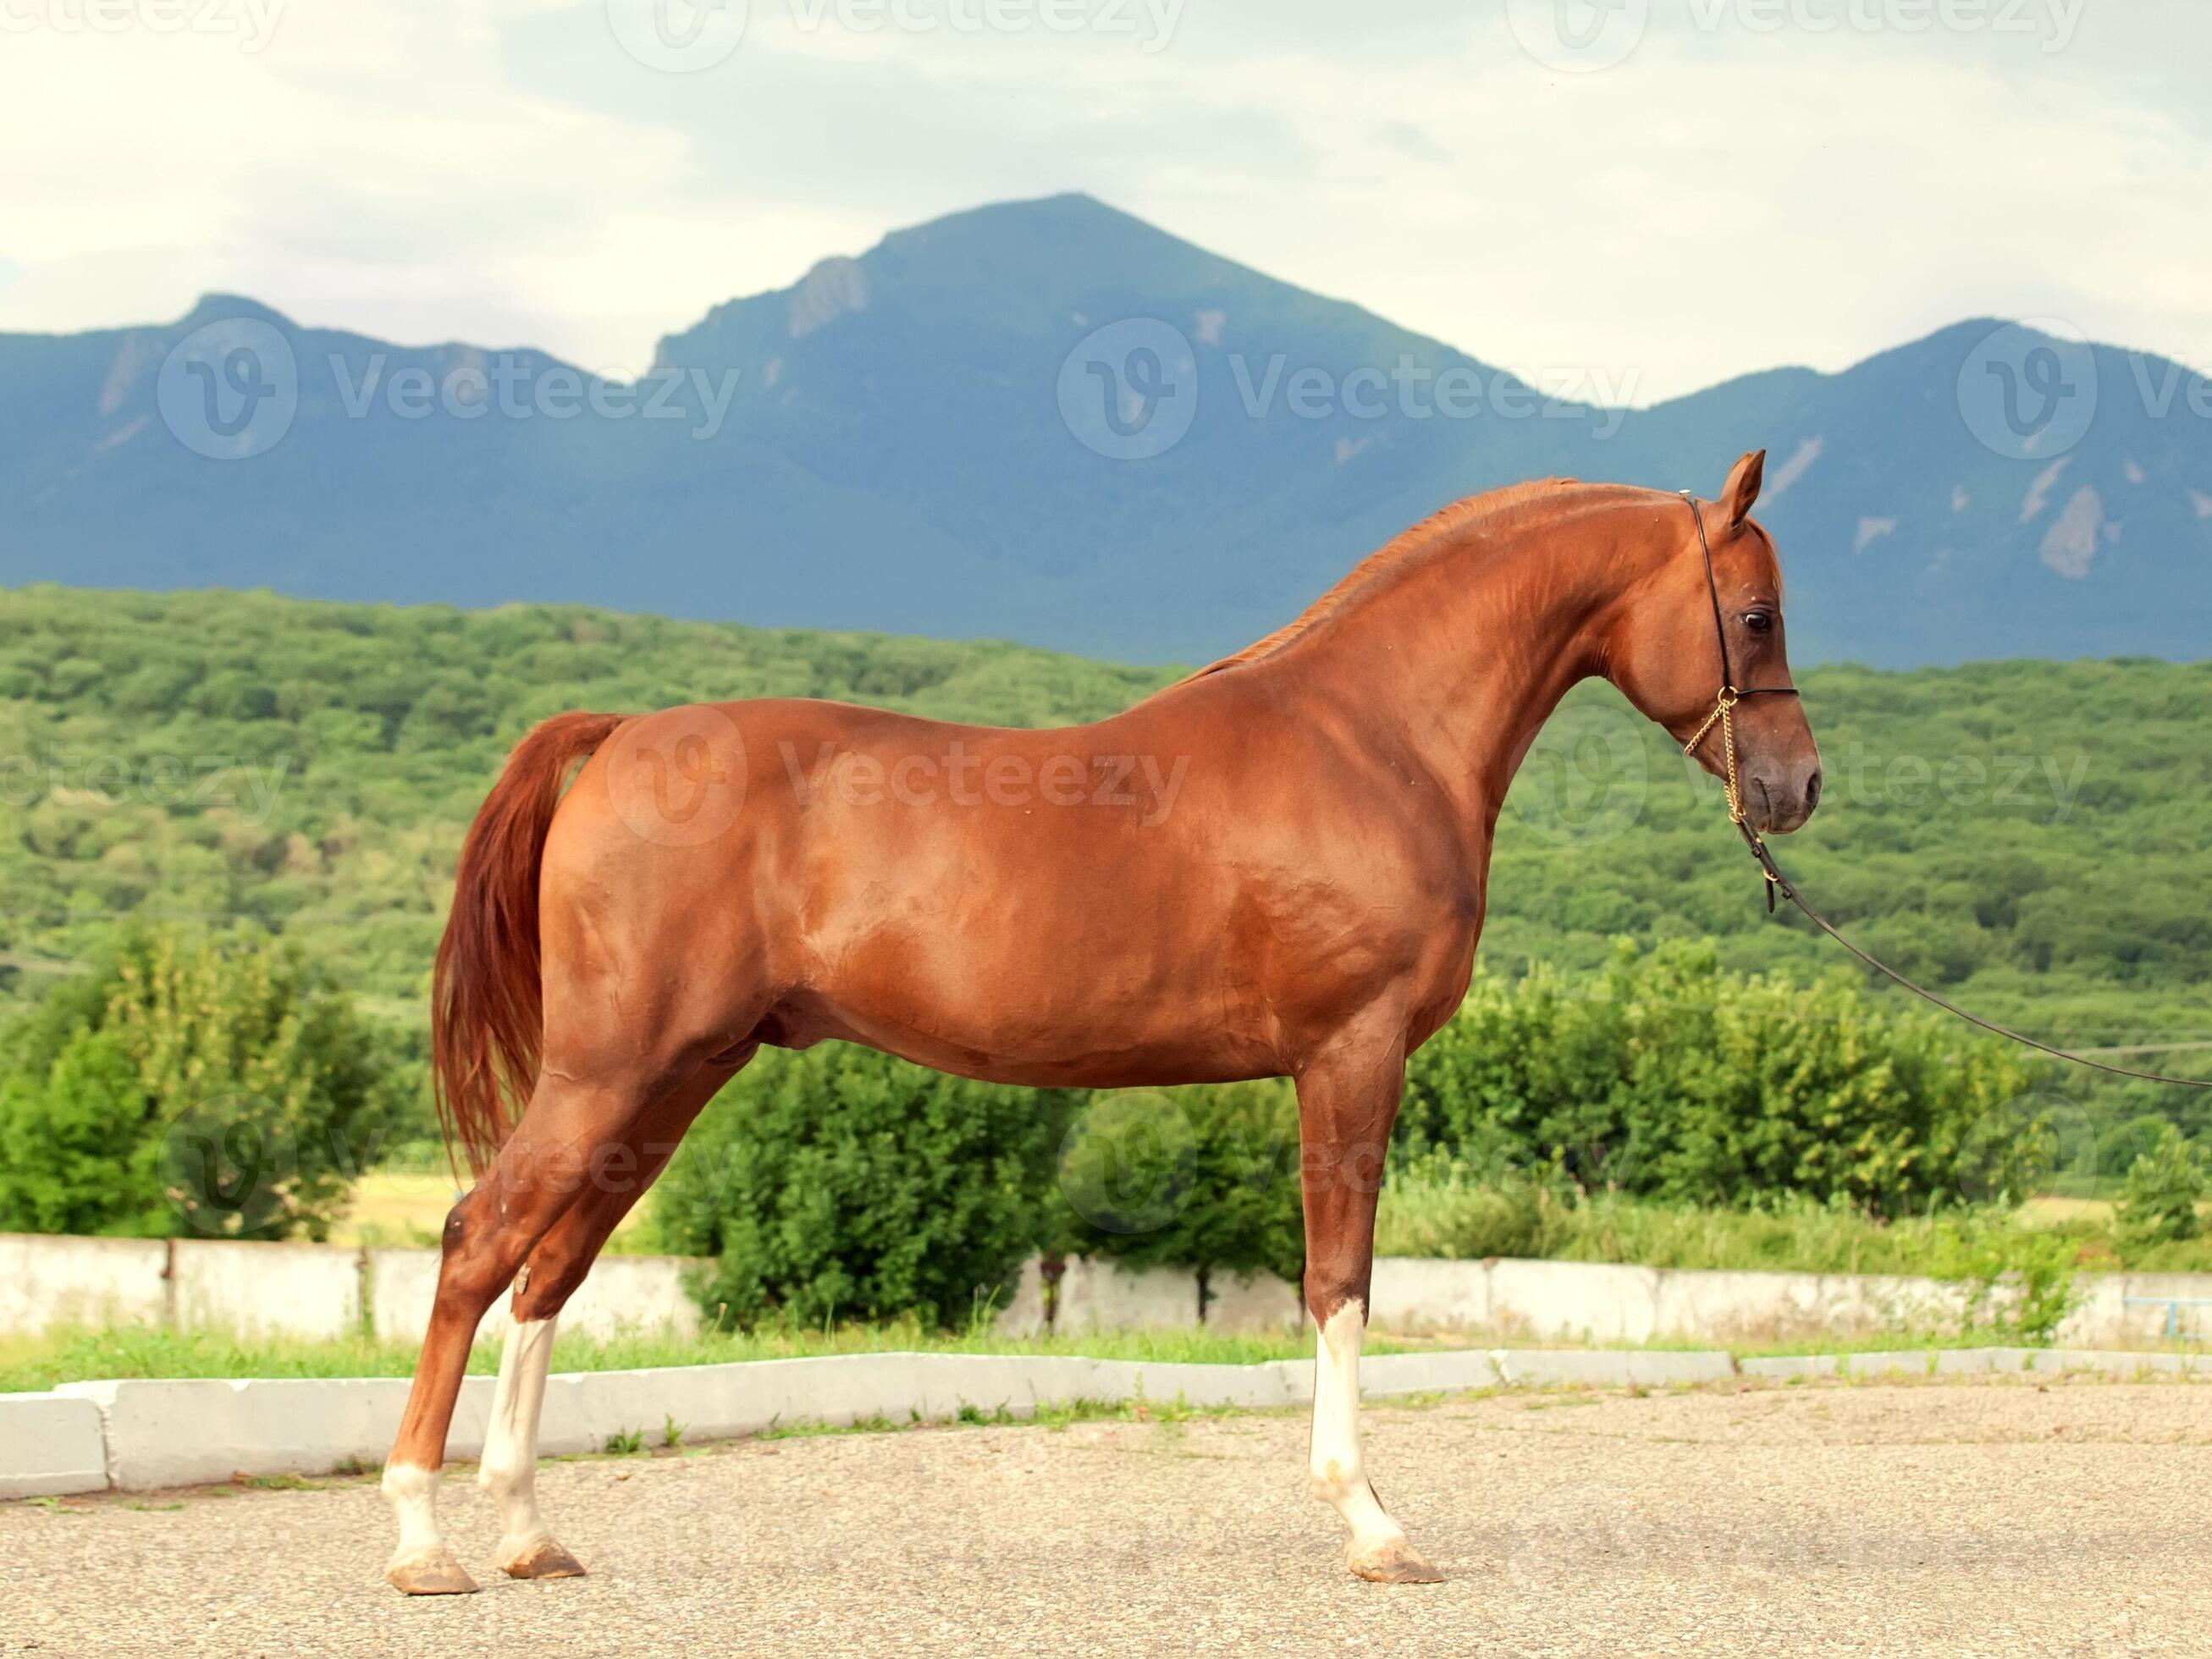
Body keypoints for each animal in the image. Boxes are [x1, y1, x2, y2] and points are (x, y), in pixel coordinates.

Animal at [381, 450, 1822, 1593]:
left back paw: (526, 1535)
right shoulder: (1348, 1058)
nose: (1797, 788)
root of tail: (620, 734)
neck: (1371, 739)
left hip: (673, 1080)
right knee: (477, 1243)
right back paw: (421, 1542)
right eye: (1755, 613)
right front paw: (1371, 1526)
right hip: (608, 1074)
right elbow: (1339, 1284)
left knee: (550, 1274)